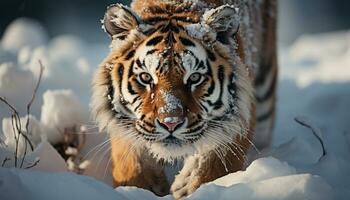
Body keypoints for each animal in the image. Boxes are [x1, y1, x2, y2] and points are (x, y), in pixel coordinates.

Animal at [91, 0, 278, 198]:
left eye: (195, 78)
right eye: (146, 77)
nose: (170, 123)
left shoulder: (237, 122)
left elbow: (214, 164)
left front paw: (190, 187)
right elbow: (131, 165)